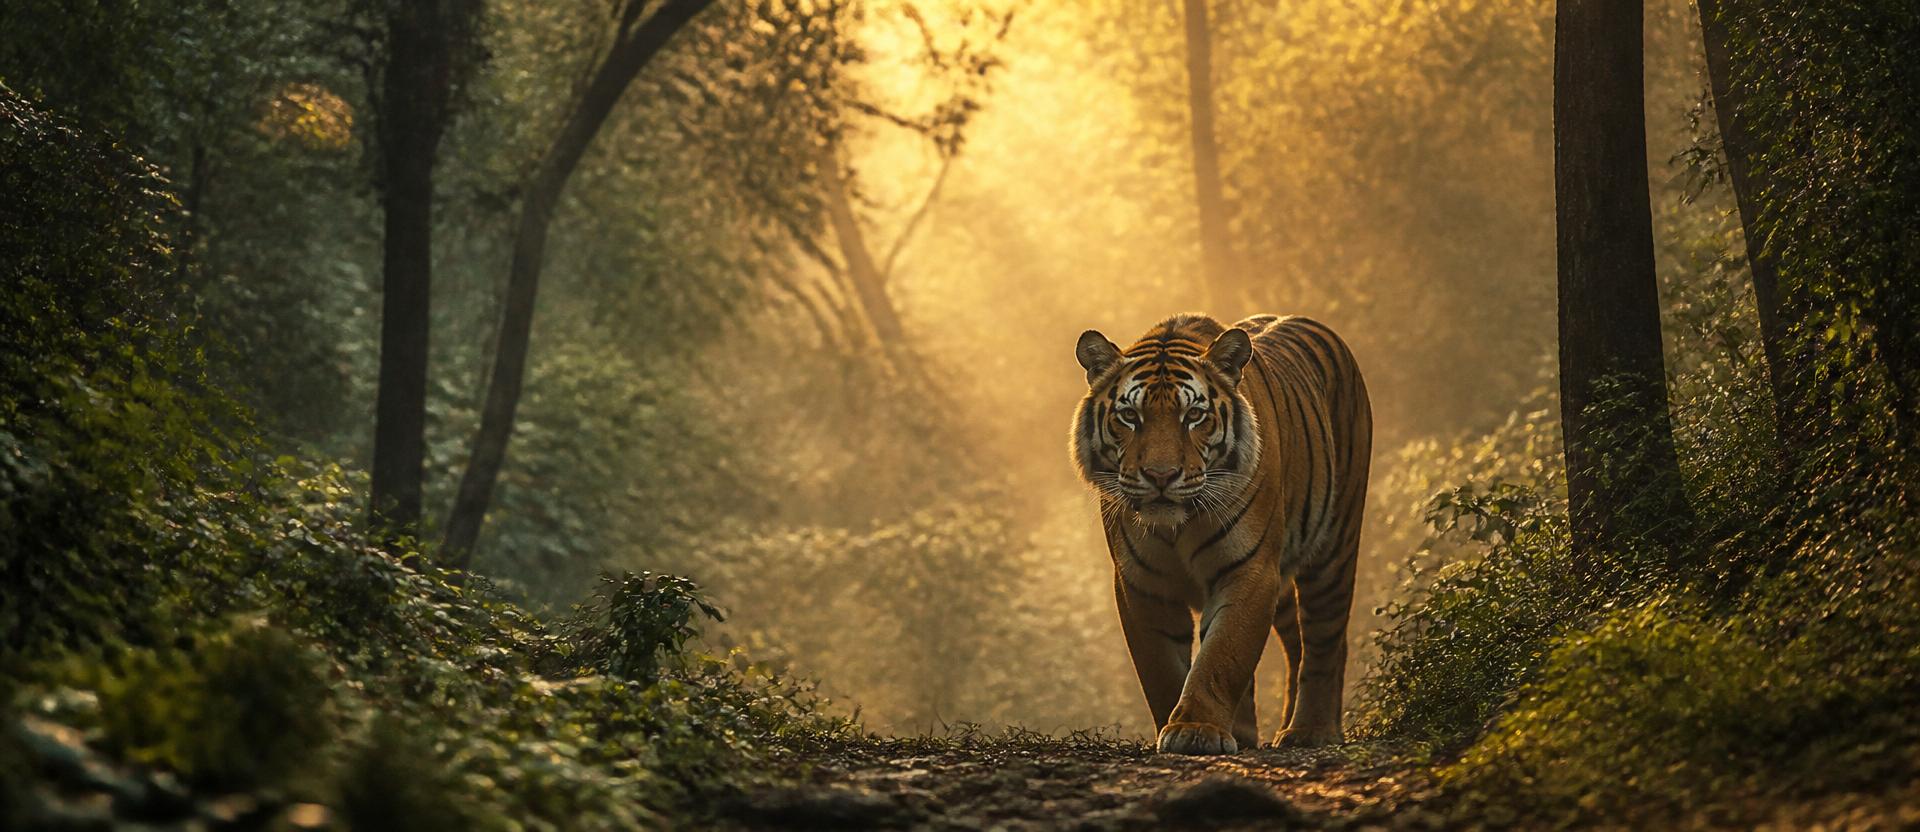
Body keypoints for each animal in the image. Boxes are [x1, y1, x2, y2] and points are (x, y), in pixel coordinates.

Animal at [1070, 313, 1371, 754]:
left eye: (1194, 415)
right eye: (1130, 417)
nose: (1161, 476)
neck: (1177, 526)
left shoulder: (1250, 570)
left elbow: (1223, 653)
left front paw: (1196, 728)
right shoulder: (1142, 583)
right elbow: (1161, 665)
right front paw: (1180, 725)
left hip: (1334, 547)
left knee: (1324, 638)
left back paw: (1311, 730)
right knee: (1297, 644)